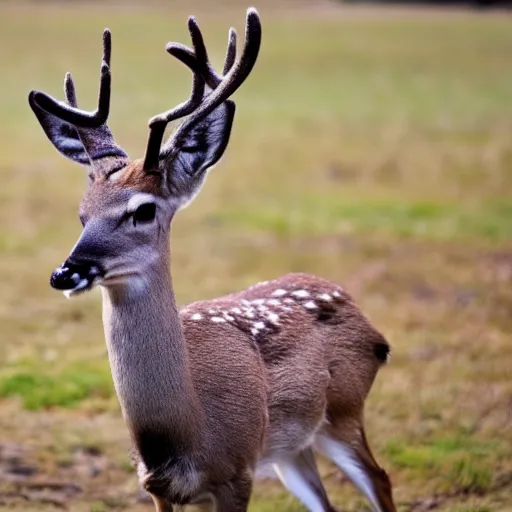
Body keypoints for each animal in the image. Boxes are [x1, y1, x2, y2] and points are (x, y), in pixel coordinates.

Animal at [29, 8, 396, 512]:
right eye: (82, 213)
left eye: (144, 210)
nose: (65, 272)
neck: (187, 430)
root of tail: (371, 326)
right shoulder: (158, 487)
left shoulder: (237, 472)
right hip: (291, 448)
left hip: (342, 410)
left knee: (381, 478)